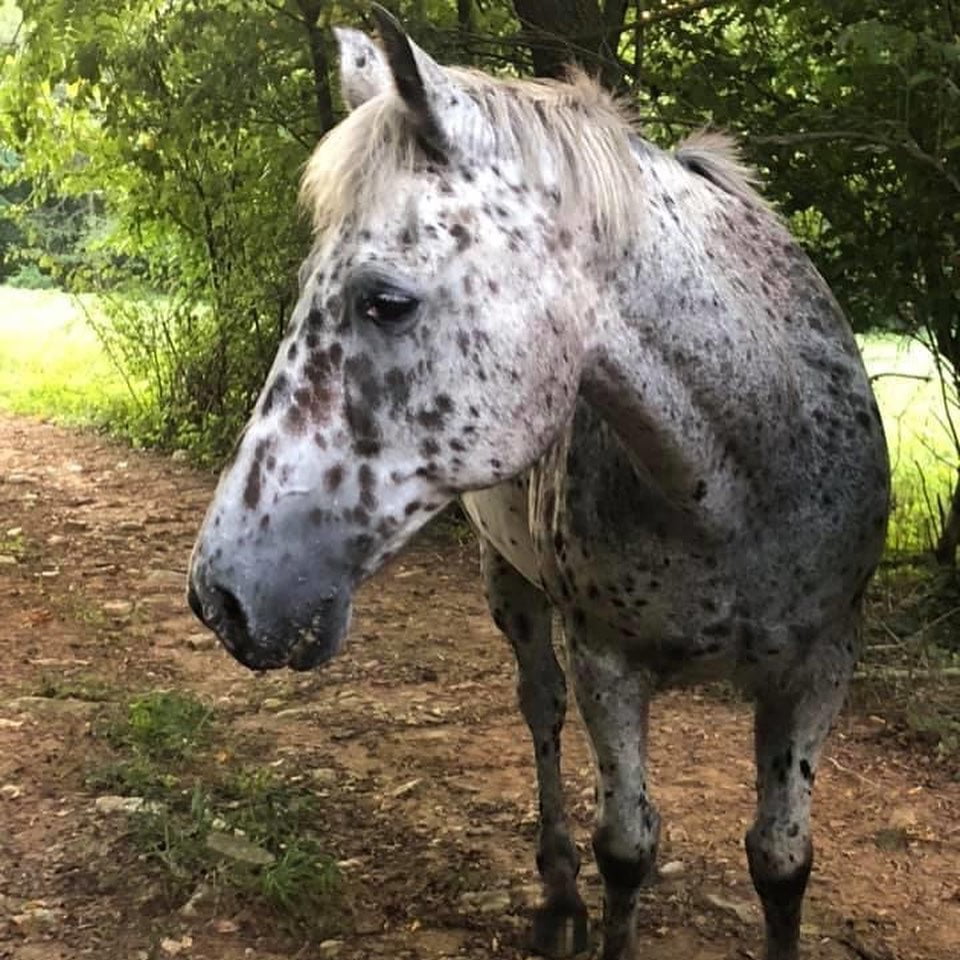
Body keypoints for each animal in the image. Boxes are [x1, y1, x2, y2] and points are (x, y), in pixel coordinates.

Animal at [187, 8, 890, 959]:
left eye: (386, 301)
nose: (220, 595)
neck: (740, 488)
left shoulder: (819, 668)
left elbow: (781, 861)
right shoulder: (608, 663)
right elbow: (626, 848)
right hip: (509, 584)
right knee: (541, 712)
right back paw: (556, 895)